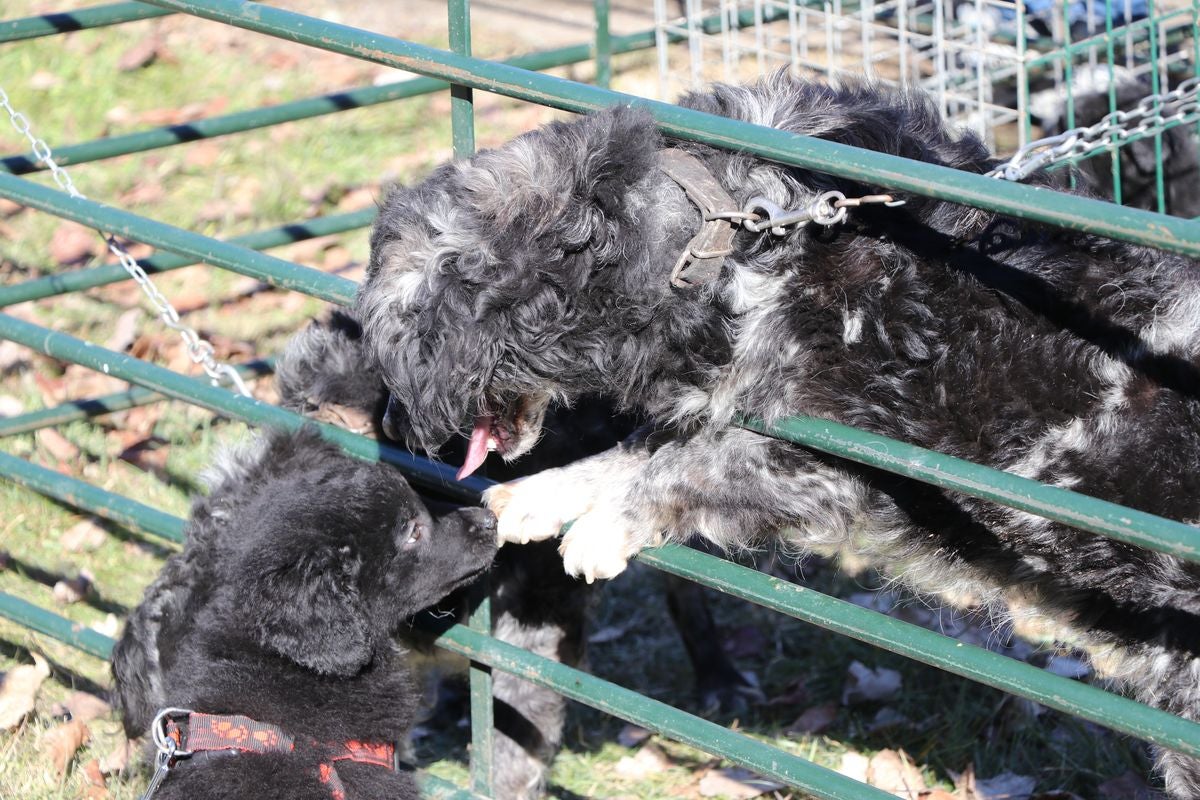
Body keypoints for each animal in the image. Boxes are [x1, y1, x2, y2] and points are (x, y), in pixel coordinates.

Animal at [350, 73, 1200, 796]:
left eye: (405, 329)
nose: (388, 426)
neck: (738, 237)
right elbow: (641, 449)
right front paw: (545, 495)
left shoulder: (845, 458)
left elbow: (697, 464)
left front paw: (604, 527)